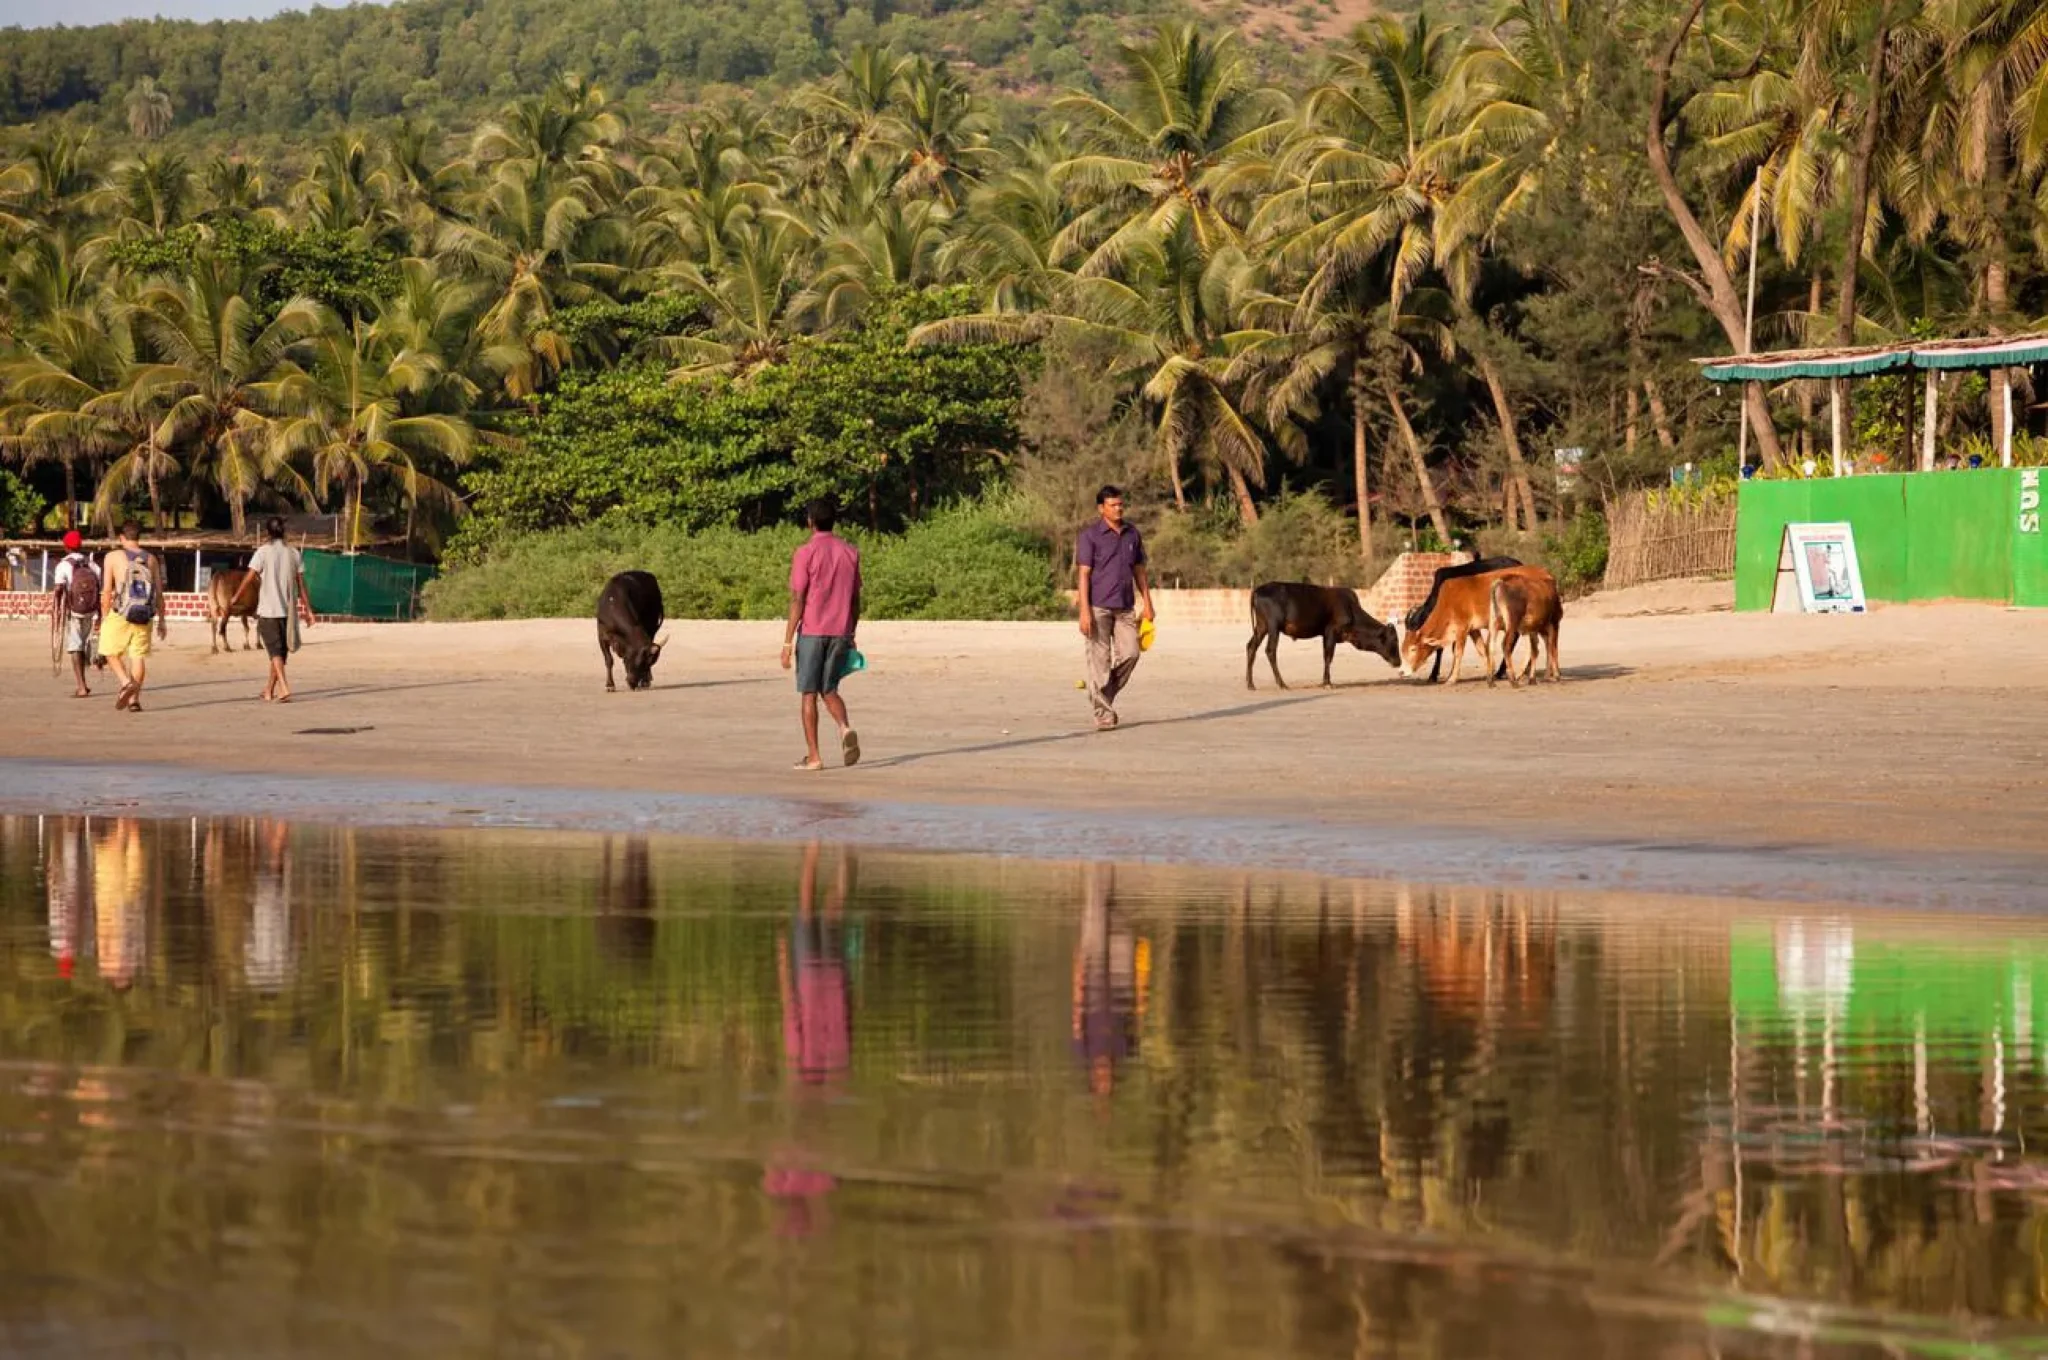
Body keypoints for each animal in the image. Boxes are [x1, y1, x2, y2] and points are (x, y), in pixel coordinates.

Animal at [1236, 581, 1400, 692]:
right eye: (1394, 641)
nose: (1398, 662)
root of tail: (1258, 590)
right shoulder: (1331, 632)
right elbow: (1328, 657)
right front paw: (1327, 683)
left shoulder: (1325, 635)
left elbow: (1325, 656)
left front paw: (1324, 681)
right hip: (1273, 627)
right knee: (1270, 650)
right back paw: (1281, 684)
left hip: (1261, 627)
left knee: (1251, 647)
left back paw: (1250, 684)